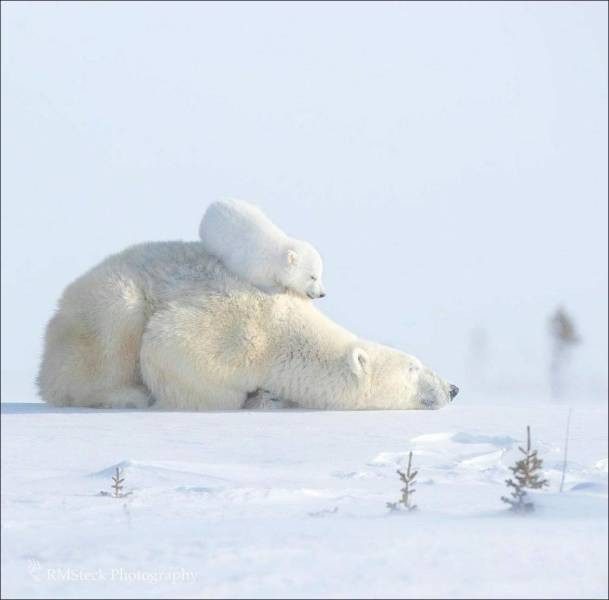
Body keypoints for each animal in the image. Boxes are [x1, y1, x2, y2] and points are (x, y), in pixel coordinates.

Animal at [36, 241, 456, 410]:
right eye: (413, 367)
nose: (453, 388)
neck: (286, 332)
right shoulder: (240, 329)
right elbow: (167, 342)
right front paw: (256, 397)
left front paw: (274, 397)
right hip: (104, 305)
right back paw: (127, 395)